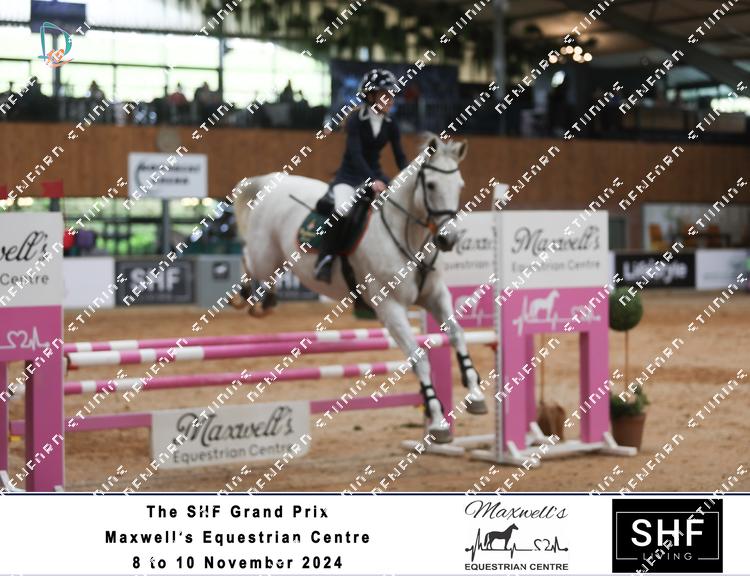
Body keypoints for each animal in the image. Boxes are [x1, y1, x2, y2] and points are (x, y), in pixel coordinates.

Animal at [231, 134, 486, 443]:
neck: (407, 237)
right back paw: (246, 297)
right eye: (432, 185)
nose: (448, 240)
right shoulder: (390, 308)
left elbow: (458, 335)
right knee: (247, 259)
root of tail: (272, 180)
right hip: (264, 257)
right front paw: (437, 421)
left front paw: (475, 394)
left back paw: (265, 300)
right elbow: (419, 359)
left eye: (459, 185)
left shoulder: (436, 296)